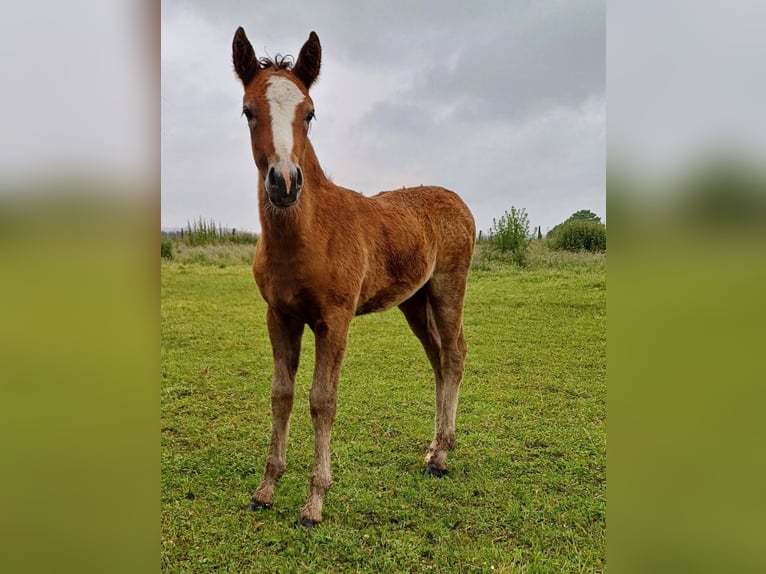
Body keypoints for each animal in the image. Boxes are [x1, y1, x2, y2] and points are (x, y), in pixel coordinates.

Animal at [231, 29, 476, 528]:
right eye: (248, 110)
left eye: (309, 113)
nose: (285, 183)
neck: (309, 235)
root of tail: (459, 201)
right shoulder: (279, 316)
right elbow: (281, 394)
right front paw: (265, 489)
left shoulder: (335, 320)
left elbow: (322, 400)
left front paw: (314, 503)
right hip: (414, 301)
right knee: (438, 360)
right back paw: (432, 450)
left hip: (447, 289)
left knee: (455, 355)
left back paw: (442, 456)